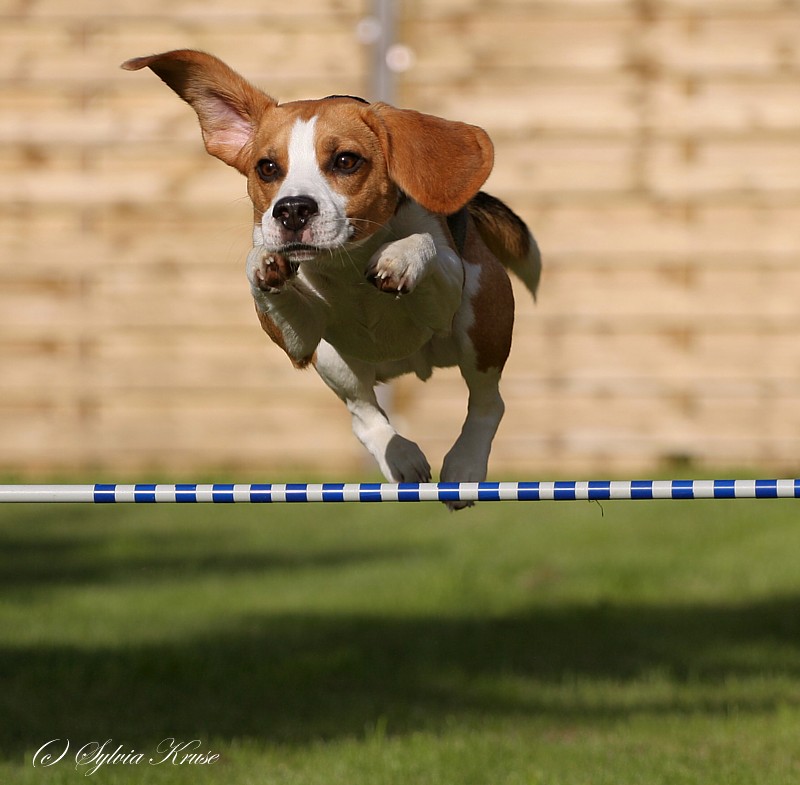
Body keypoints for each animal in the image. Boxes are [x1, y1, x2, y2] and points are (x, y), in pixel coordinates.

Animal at [122, 52, 540, 508]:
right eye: (267, 168)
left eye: (345, 161)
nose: (291, 210)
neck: (347, 260)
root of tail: (411, 365)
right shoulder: (300, 339)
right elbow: (268, 279)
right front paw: (262, 259)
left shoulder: (447, 294)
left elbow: (423, 242)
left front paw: (400, 256)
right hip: (332, 358)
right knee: (364, 414)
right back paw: (402, 456)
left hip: (481, 318)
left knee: (487, 402)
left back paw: (464, 466)